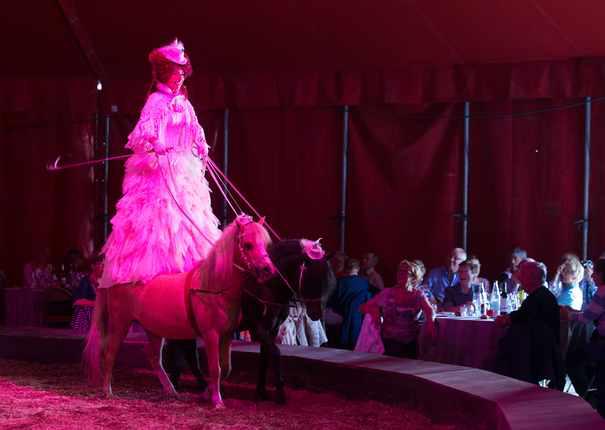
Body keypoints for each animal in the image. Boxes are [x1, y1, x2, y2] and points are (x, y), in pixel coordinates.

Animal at [83, 215, 276, 408]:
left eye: (265, 244)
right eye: (248, 245)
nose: (268, 269)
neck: (213, 288)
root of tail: (111, 276)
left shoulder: (226, 335)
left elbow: (226, 368)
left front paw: (206, 394)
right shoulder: (211, 334)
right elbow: (215, 368)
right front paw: (217, 401)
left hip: (154, 329)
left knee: (153, 357)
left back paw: (171, 390)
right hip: (120, 323)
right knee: (109, 353)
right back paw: (107, 392)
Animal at [239, 239, 337, 404]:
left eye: (328, 281)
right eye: (312, 279)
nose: (317, 314)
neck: (266, 286)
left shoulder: (272, 329)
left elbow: (265, 357)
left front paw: (261, 391)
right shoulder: (258, 328)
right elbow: (275, 353)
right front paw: (280, 393)